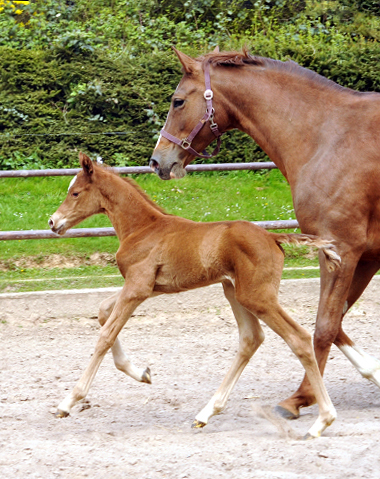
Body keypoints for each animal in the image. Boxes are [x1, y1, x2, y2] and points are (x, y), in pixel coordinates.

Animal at [49, 154, 340, 438]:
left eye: (75, 193)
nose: (53, 222)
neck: (142, 228)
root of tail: (272, 236)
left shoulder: (137, 287)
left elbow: (105, 336)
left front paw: (67, 403)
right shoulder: (147, 288)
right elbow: (103, 312)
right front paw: (142, 373)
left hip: (258, 297)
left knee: (298, 338)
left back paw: (322, 421)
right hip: (235, 292)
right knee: (251, 338)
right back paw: (206, 414)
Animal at [150, 48, 380, 420]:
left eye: (178, 101)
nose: (157, 161)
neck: (327, 136)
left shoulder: (341, 250)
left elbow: (324, 326)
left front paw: (299, 398)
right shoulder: (366, 256)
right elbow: (335, 322)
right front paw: (371, 373)